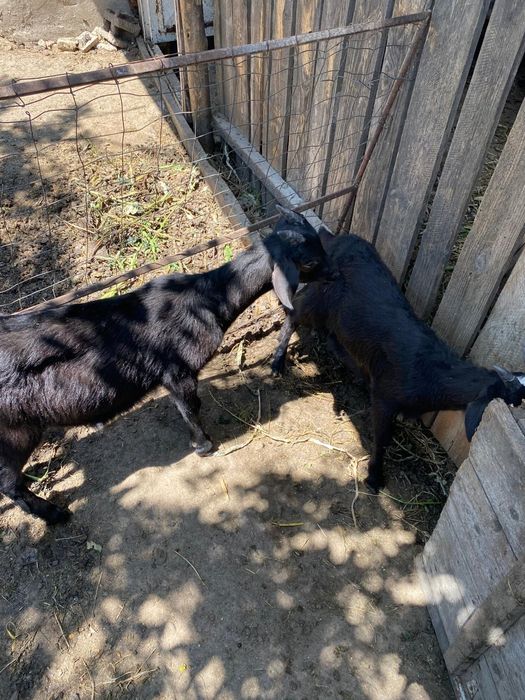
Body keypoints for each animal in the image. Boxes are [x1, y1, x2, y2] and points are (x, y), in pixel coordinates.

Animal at [0, 207, 326, 524]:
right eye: (310, 261)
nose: (335, 272)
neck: (207, 298)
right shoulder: (178, 369)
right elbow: (189, 407)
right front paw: (203, 446)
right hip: (16, 431)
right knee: (9, 484)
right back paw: (54, 514)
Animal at [272, 229, 525, 492]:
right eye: (516, 401)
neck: (432, 373)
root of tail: (332, 238)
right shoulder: (385, 398)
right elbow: (383, 439)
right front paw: (374, 477)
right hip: (318, 300)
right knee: (294, 312)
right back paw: (278, 363)